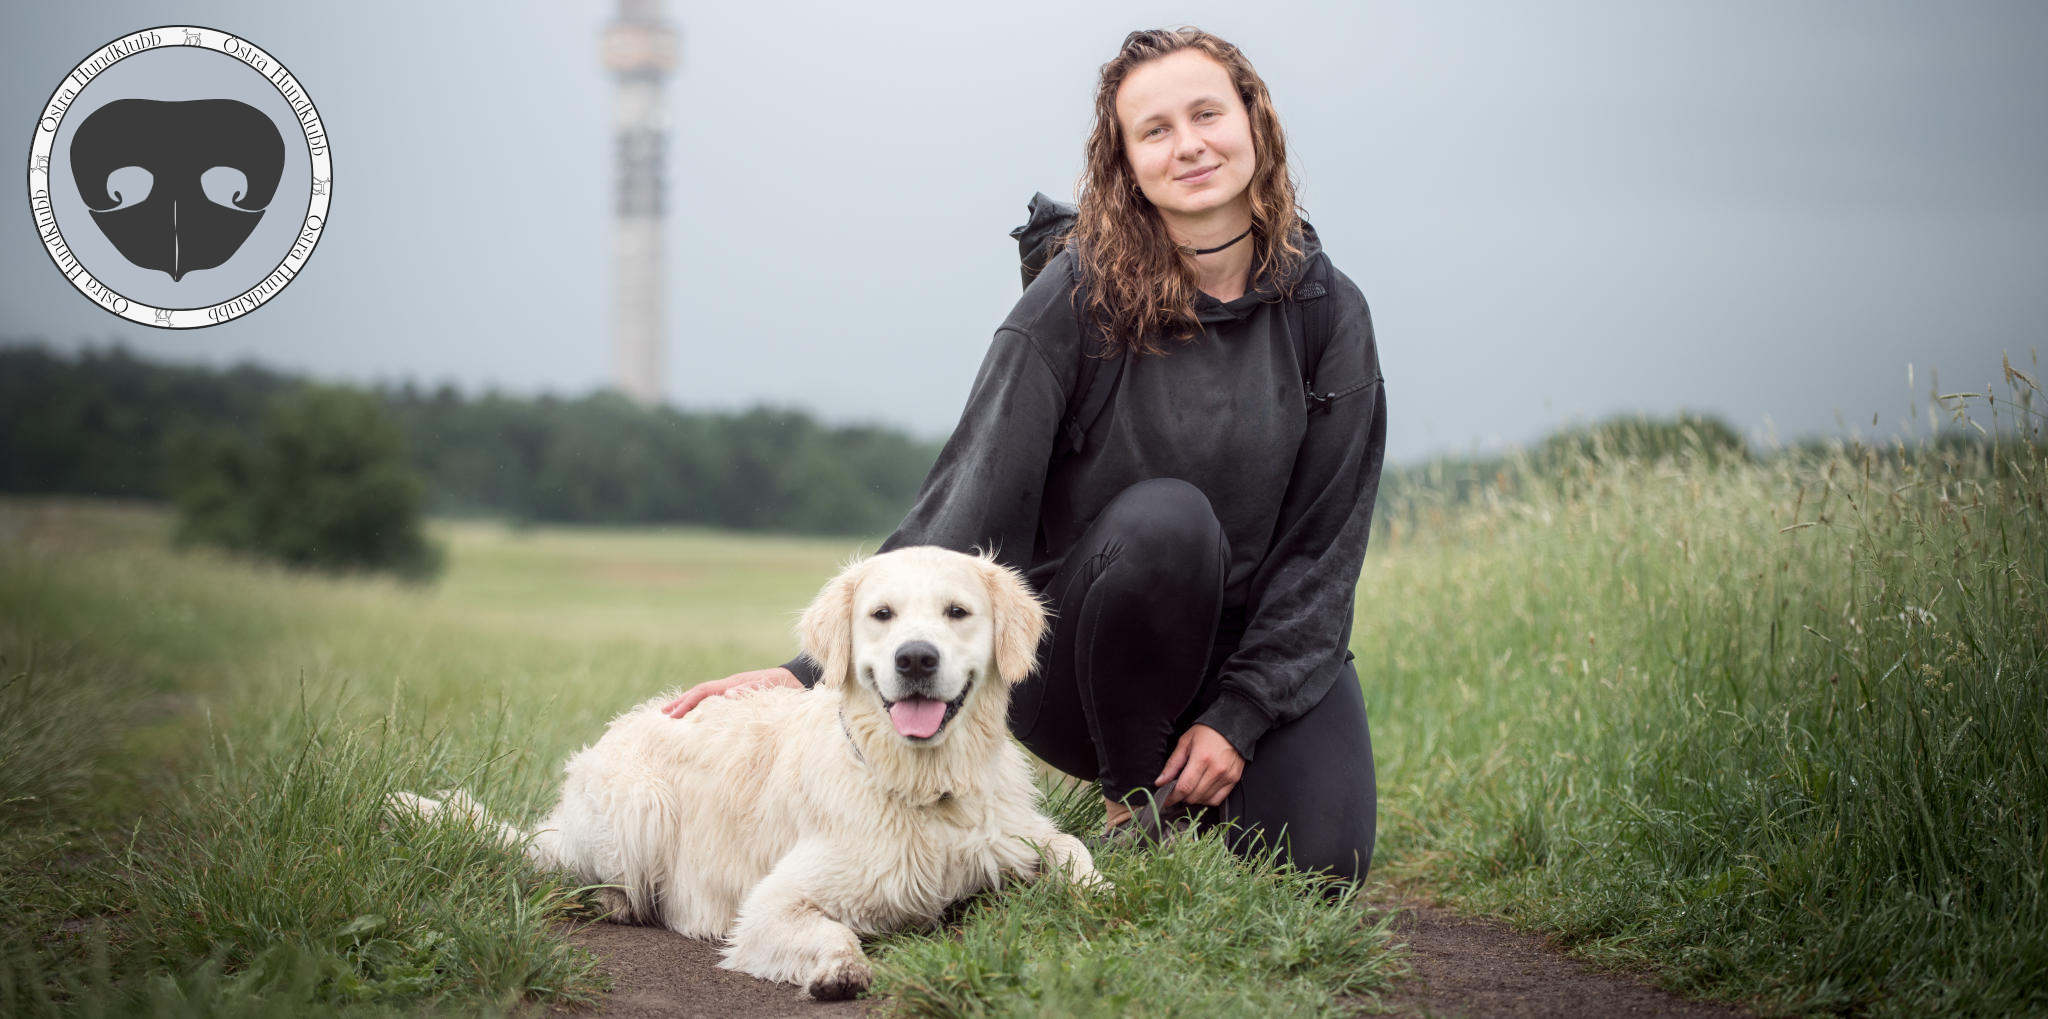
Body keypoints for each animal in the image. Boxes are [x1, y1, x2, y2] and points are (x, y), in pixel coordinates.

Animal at [393, 544, 1114, 998]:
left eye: (957, 612)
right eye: (881, 614)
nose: (915, 658)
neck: (925, 787)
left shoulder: (1013, 835)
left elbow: (1070, 847)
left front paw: (1101, 890)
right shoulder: (773, 900)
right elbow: (825, 929)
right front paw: (839, 968)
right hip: (638, 809)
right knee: (562, 869)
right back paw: (613, 899)